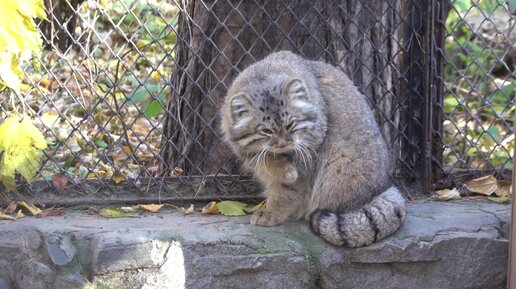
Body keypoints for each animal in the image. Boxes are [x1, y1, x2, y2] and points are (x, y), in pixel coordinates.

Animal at [220, 50, 406, 245]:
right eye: (266, 131)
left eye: (291, 125)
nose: (284, 143)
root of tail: (384, 187)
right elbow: (267, 159)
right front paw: (283, 170)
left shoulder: (310, 153)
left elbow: (288, 189)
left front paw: (272, 212)